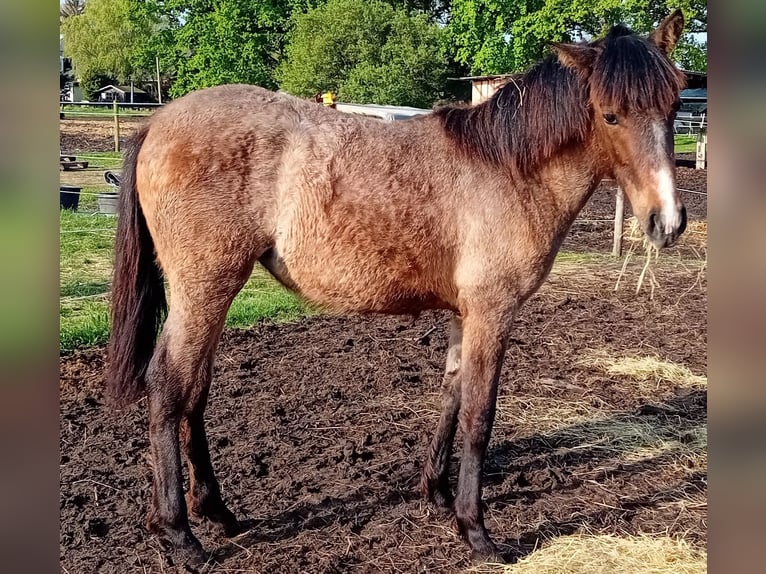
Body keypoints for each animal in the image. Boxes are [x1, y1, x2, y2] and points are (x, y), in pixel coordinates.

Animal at [106, 10, 688, 568]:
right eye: (611, 114)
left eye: (674, 105)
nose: (668, 221)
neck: (507, 169)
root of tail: (157, 122)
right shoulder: (492, 311)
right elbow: (479, 415)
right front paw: (476, 532)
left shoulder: (464, 312)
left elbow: (453, 394)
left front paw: (436, 493)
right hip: (205, 287)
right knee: (168, 385)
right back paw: (180, 534)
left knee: (195, 390)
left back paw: (218, 512)